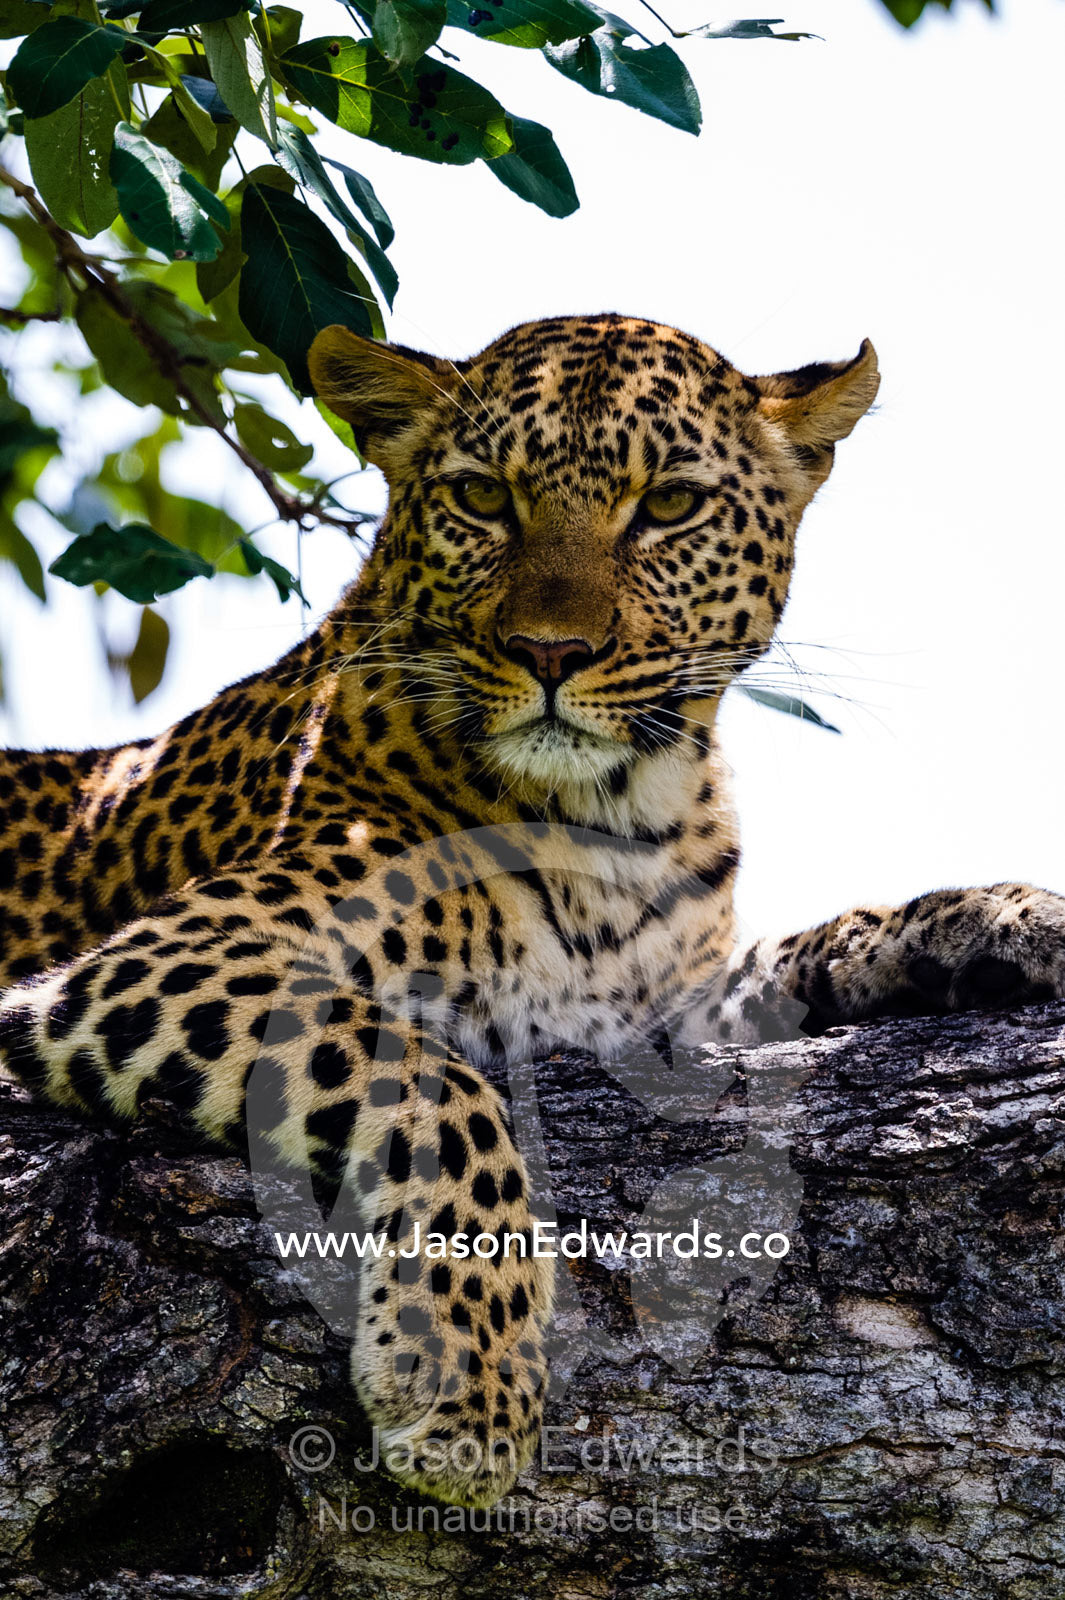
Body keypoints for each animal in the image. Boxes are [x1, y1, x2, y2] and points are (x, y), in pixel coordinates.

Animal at [1, 312, 1063, 1510]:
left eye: (669, 505)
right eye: (481, 497)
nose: (551, 652)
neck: (615, 825)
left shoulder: (653, 1012)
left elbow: (809, 944)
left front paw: (1001, 917)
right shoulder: (164, 959)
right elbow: (433, 1083)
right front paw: (465, 1374)